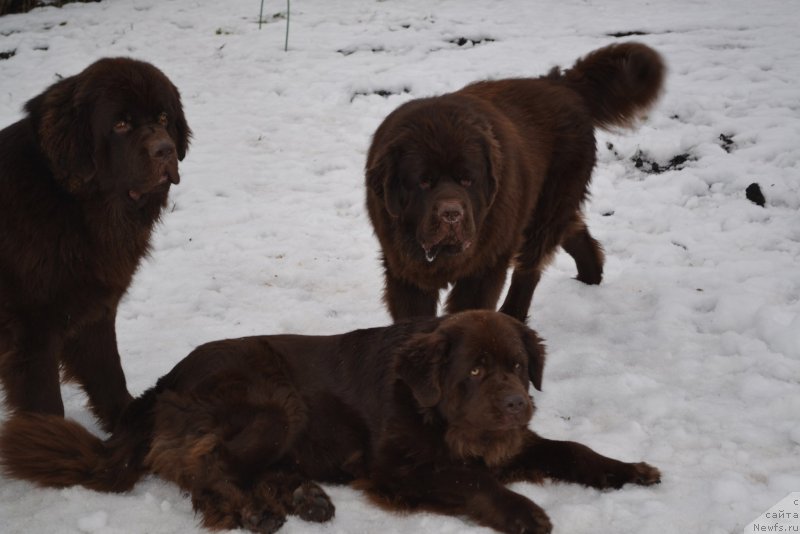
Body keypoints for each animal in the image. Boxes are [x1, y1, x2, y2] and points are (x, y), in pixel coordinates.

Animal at [0, 57, 191, 432]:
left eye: (163, 118)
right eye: (120, 124)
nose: (165, 150)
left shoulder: (95, 307)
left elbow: (108, 373)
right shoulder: (32, 328)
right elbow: (46, 404)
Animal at [1, 312, 664, 532]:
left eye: (519, 368)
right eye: (474, 371)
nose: (515, 405)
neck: (432, 409)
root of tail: (165, 381)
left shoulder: (510, 442)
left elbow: (573, 449)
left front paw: (627, 470)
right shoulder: (401, 465)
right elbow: (473, 480)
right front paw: (523, 512)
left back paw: (304, 498)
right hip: (275, 397)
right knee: (202, 464)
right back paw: (252, 512)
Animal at [366, 42, 664, 322]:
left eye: (468, 179)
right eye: (424, 182)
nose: (452, 215)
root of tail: (562, 84)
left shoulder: (485, 266)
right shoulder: (404, 272)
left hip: (544, 209)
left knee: (530, 267)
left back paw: (513, 315)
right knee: (572, 228)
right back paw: (590, 277)